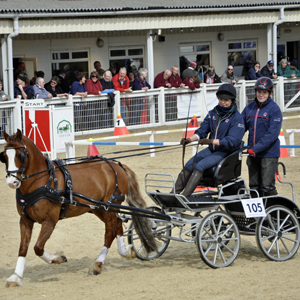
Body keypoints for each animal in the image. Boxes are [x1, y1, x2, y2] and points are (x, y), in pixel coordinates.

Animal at [1, 130, 157, 288]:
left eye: (20, 155)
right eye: (4, 156)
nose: (12, 182)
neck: (44, 181)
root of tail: (117, 165)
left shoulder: (50, 220)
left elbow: (38, 247)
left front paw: (58, 258)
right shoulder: (25, 220)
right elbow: (23, 247)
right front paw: (16, 277)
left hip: (109, 207)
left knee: (110, 232)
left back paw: (98, 264)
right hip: (99, 208)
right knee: (117, 224)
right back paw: (126, 252)